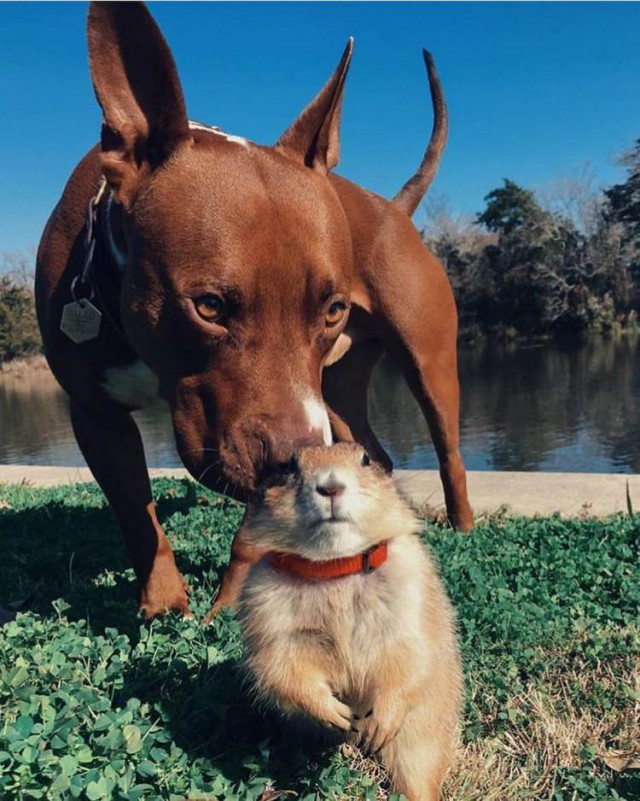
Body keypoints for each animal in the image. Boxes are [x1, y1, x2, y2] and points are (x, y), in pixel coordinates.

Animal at [37, 1, 472, 620]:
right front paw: (164, 602)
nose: (293, 465)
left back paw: (462, 528)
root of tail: (392, 207)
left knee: (449, 452)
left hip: (426, 364)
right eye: (209, 306)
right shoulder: (96, 415)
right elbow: (137, 517)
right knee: (374, 451)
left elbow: (251, 529)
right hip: (335, 392)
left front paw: (232, 597)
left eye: (332, 310)